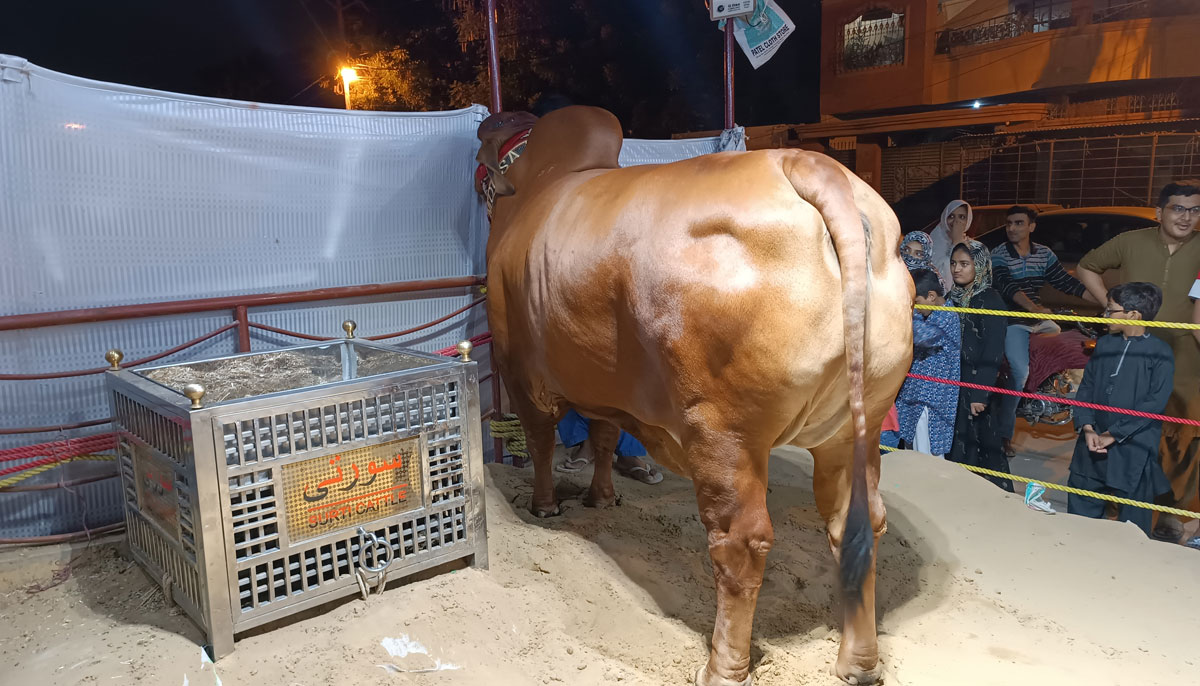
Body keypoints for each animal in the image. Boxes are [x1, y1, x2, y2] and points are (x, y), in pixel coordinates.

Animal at [475, 107, 907, 686]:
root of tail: (811, 165)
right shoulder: (609, 391)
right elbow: (604, 434)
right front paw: (601, 497)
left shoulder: (520, 372)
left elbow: (543, 442)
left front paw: (545, 506)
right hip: (854, 426)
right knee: (857, 524)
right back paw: (857, 662)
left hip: (723, 431)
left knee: (741, 541)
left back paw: (722, 666)